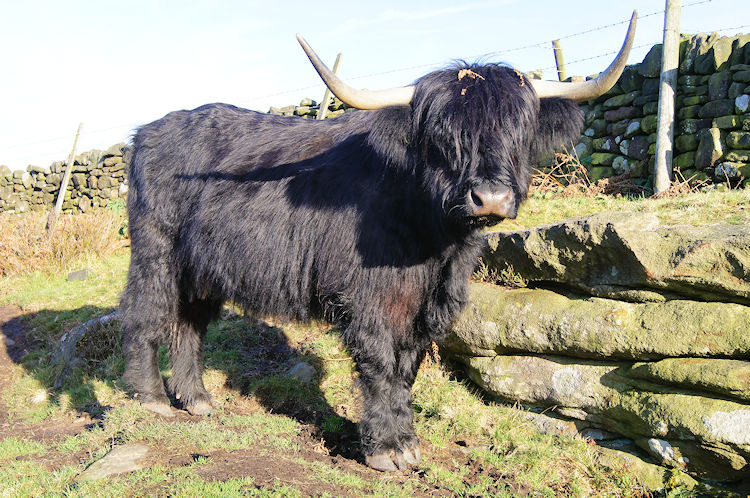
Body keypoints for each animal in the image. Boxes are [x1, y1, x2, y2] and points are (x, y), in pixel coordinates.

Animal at [123, 11, 640, 470]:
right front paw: (383, 450)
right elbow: (379, 365)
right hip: (155, 251)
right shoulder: (367, 299)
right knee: (146, 312)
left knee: (189, 322)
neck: (435, 245)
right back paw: (153, 399)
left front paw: (408, 443)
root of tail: (148, 131)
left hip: (201, 267)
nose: (490, 198)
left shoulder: (424, 306)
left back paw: (197, 398)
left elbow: (406, 368)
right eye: (443, 135)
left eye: (521, 130)